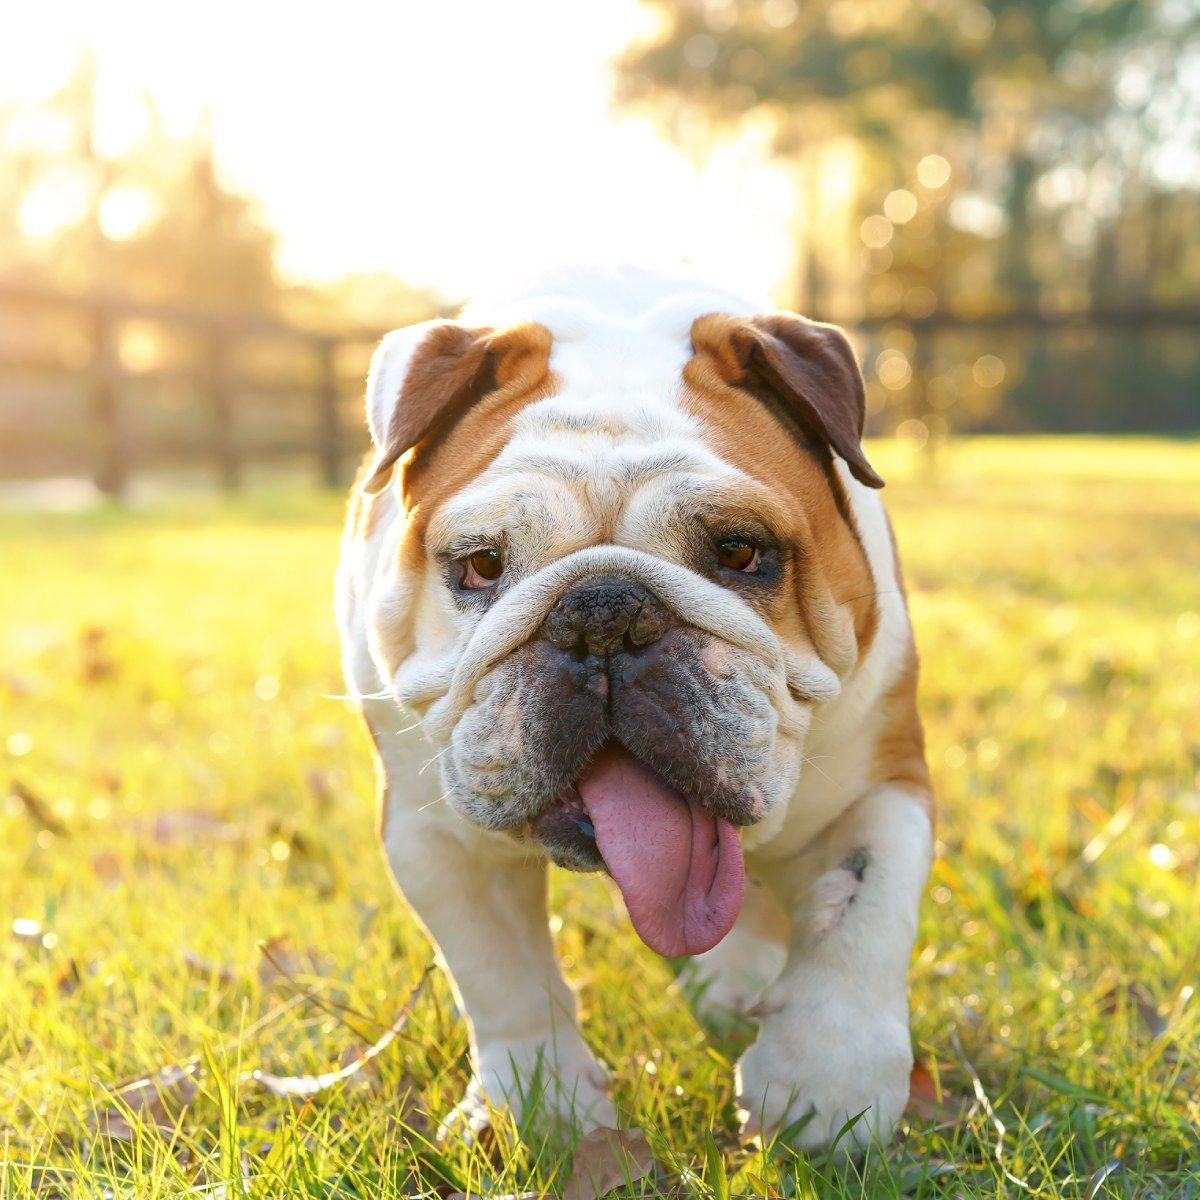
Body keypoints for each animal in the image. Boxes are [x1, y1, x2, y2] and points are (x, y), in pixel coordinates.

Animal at [338, 267, 936, 1147]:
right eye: (482, 564)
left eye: (740, 551)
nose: (603, 612)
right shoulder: (436, 837)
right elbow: (500, 974)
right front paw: (541, 1108)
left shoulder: (879, 780)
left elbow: (865, 914)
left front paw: (826, 1085)